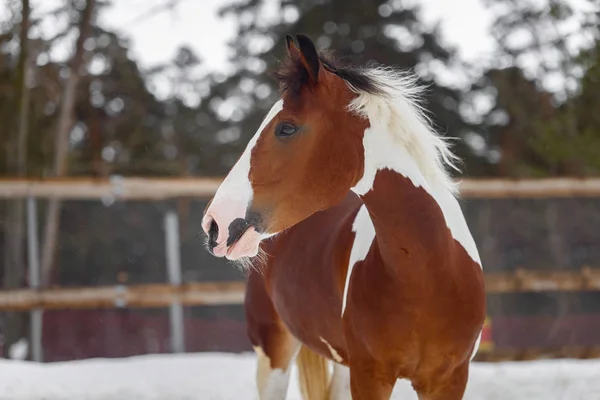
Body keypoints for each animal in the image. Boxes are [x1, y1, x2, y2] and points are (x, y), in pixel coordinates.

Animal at [204, 34, 486, 400]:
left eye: (287, 128)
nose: (214, 224)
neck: (430, 274)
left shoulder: (448, 380)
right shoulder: (369, 376)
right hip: (274, 354)